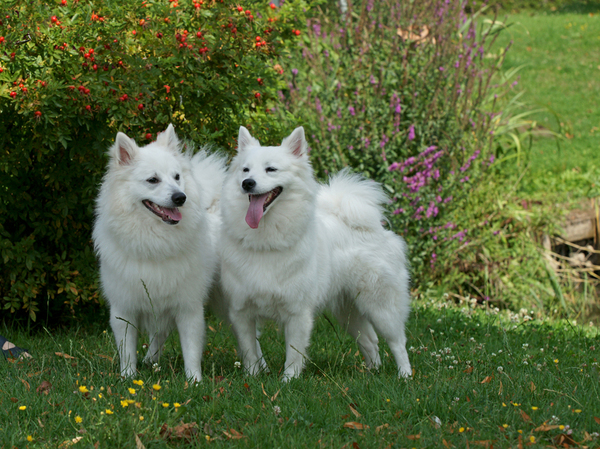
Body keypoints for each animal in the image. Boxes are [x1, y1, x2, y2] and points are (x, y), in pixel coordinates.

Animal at [94, 124, 225, 380]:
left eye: (177, 177)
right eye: (152, 180)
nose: (180, 197)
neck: (155, 243)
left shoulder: (188, 308)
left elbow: (191, 349)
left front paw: (194, 380)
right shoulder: (124, 309)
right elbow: (127, 349)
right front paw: (128, 377)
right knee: (159, 335)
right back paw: (150, 360)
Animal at [220, 127, 412, 382]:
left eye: (271, 169)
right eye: (245, 170)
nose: (247, 183)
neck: (265, 240)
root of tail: (373, 227)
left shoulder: (297, 313)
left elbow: (293, 355)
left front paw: (288, 382)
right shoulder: (241, 312)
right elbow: (250, 351)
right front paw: (252, 380)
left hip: (381, 306)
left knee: (398, 342)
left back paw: (405, 376)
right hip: (348, 310)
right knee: (370, 340)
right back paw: (373, 373)